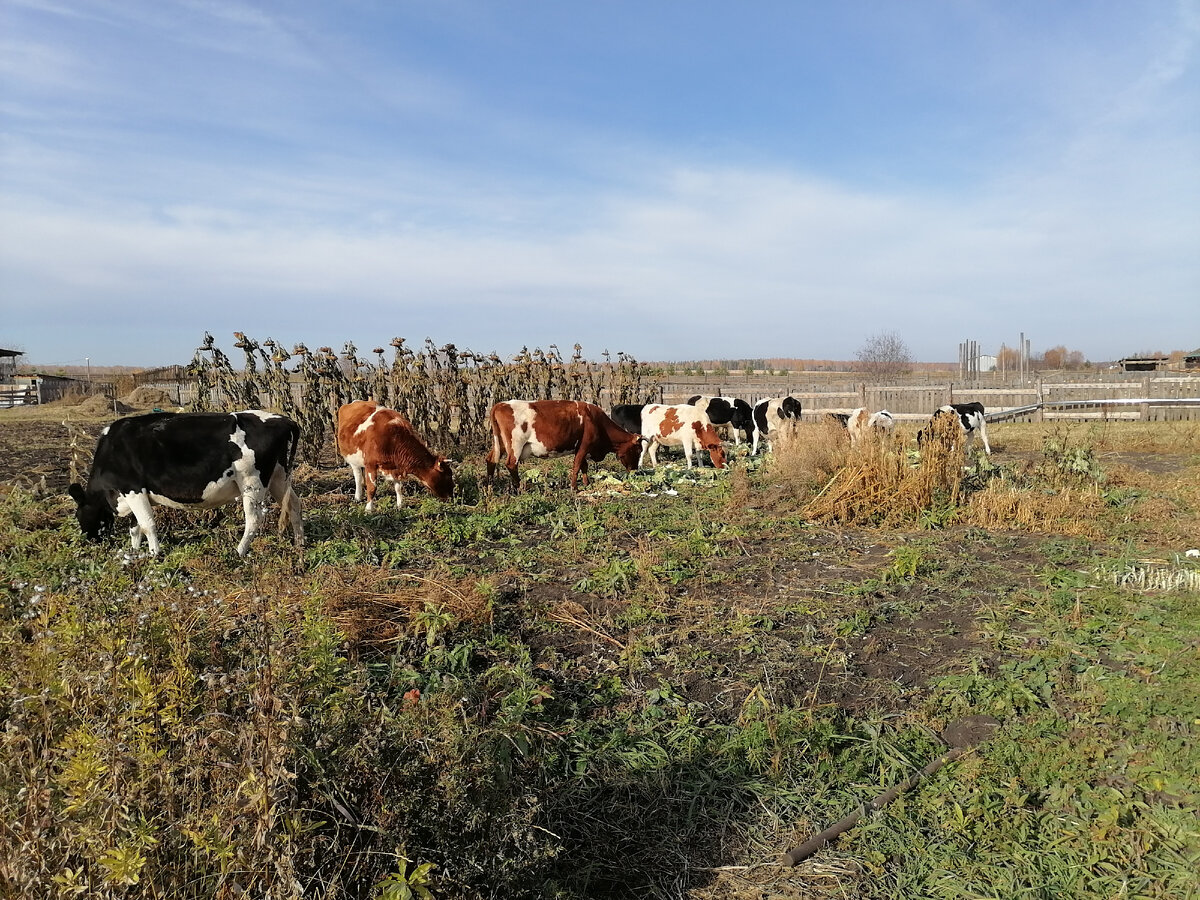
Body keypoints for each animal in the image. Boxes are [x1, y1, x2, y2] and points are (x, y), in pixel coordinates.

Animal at [69, 410, 304, 556]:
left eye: (79, 515)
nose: (90, 541)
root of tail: (281, 419)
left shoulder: (133, 489)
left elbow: (147, 524)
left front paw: (154, 554)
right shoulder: (133, 494)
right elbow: (136, 528)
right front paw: (135, 553)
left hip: (251, 482)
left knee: (254, 519)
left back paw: (239, 552)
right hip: (279, 476)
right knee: (294, 504)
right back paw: (299, 543)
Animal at [484, 400, 648, 489]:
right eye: (638, 450)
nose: (635, 470)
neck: (595, 419)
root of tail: (501, 404)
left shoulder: (580, 447)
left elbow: (583, 466)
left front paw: (586, 483)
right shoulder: (585, 445)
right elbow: (577, 465)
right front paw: (574, 487)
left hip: (500, 444)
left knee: (491, 460)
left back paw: (490, 485)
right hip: (515, 445)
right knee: (511, 464)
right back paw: (520, 487)